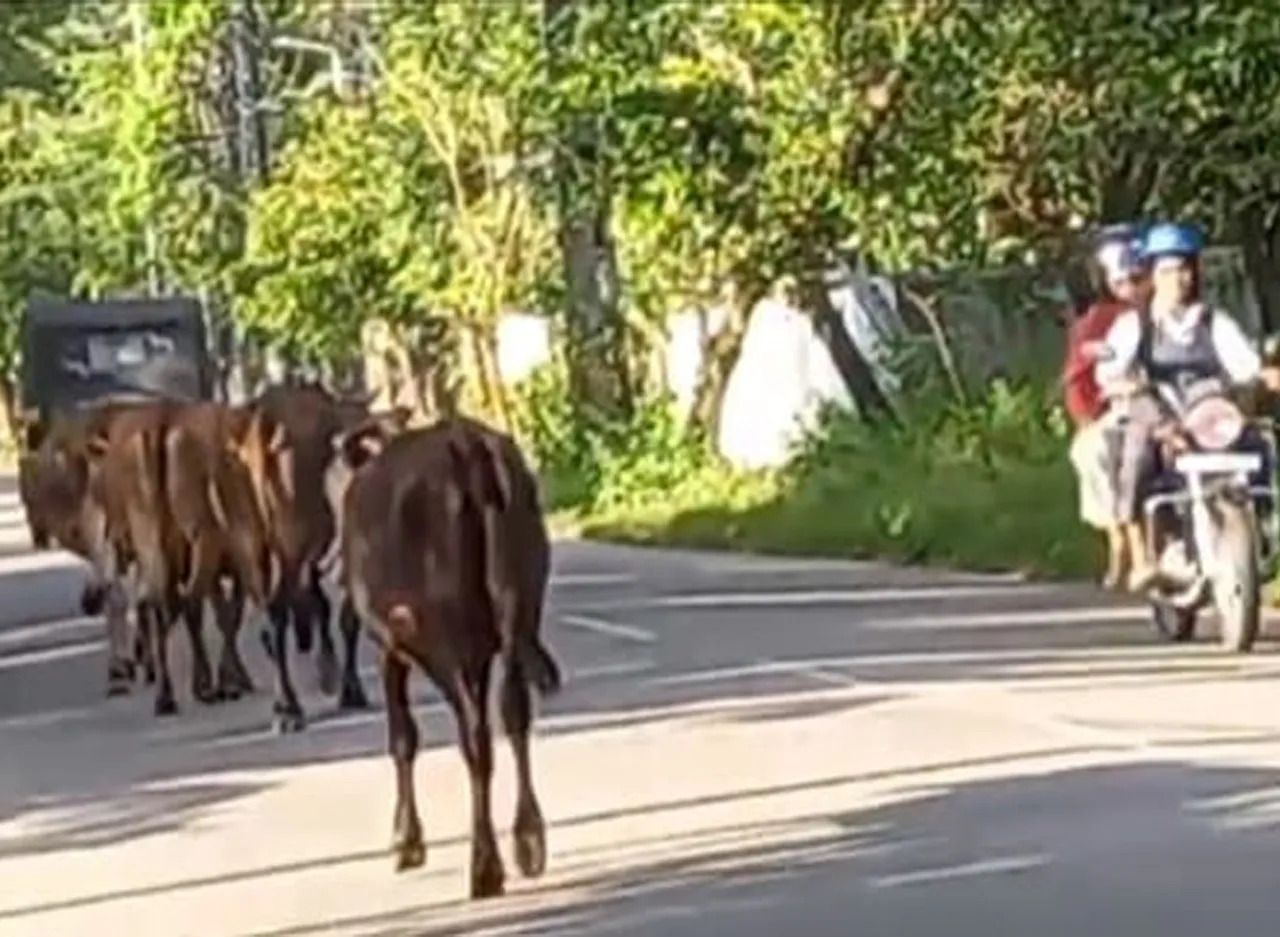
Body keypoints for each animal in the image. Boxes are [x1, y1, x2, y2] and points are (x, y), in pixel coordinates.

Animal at [335, 416, 561, 899]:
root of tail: (468, 444)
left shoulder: (389, 648)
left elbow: (402, 737)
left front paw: (406, 839)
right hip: (519, 608)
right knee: (514, 712)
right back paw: (528, 841)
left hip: (447, 639)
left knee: (475, 736)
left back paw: (485, 865)